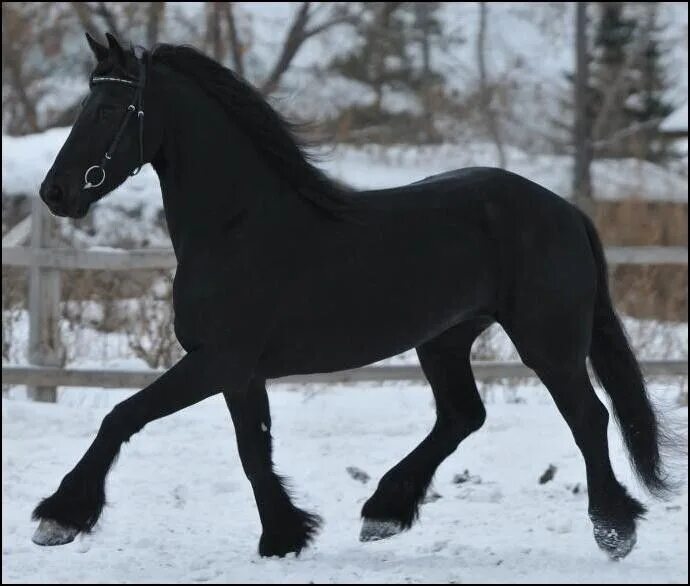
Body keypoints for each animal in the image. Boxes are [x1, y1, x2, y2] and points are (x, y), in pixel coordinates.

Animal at [33, 34, 672, 560]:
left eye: (107, 109)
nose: (54, 192)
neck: (238, 226)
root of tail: (566, 211)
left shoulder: (217, 361)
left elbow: (122, 415)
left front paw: (58, 517)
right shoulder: (239, 373)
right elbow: (253, 450)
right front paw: (284, 537)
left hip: (547, 341)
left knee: (587, 416)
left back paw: (614, 529)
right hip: (445, 339)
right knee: (463, 415)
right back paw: (384, 512)